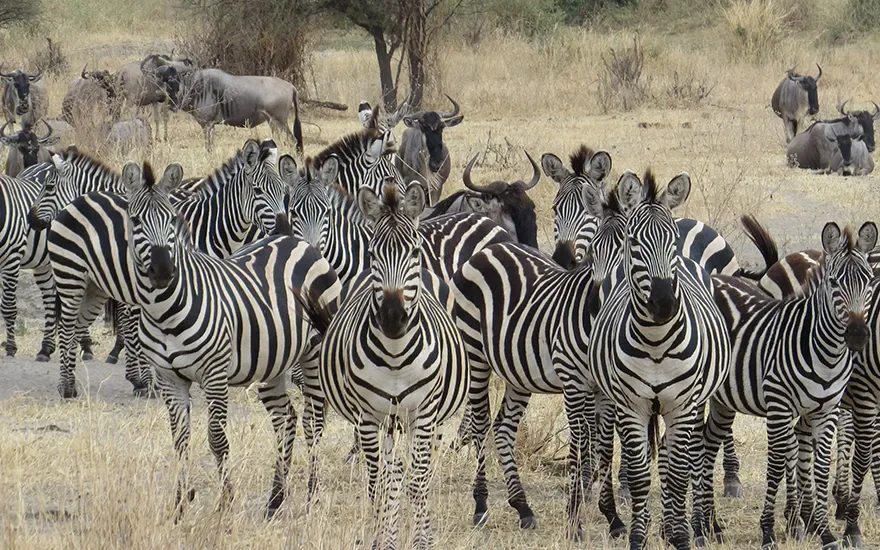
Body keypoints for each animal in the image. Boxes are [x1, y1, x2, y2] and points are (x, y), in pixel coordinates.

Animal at [46, 139, 291, 398]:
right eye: (258, 191)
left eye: (284, 192)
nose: (284, 230)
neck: (209, 227)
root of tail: (78, 201)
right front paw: (152, 381)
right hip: (70, 275)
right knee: (68, 326)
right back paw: (68, 386)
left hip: (95, 286)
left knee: (77, 325)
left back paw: (72, 382)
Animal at [116, 160, 339, 518]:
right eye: (136, 221)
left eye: (171, 219)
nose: (163, 272)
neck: (164, 311)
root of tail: (298, 242)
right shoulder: (168, 379)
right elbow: (180, 440)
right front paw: (180, 504)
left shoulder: (215, 374)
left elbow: (216, 438)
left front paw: (225, 501)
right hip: (273, 362)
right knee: (286, 419)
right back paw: (275, 500)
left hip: (314, 352)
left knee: (313, 421)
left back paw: (312, 497)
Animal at [310, 181, 467, 550]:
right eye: (372, 255)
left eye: (415, 252)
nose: (393, 318)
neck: (396, 356)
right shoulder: (369, 416)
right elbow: (378, 483)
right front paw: (380, 536)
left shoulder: (423, 412)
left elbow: (419, 480)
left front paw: (422, 540)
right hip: (388, 421)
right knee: (389, 475)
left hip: (423, 419)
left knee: (413, 472)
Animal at [586, 170, 731, 550]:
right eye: (634, 241)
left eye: (672, 241)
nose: (665, 303)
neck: (655, 341)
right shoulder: (631, 405)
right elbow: (638, 476)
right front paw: (640, 536)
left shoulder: (683, 404)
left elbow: (680, 473)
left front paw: (681, 536)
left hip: (697, 401)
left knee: (686, 454)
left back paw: (688, 523)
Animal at [702, 216, 876, 550]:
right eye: (833, 283)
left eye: (869, 282)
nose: (858, 335)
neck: (826, 353)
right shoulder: (780, 407)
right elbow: (775, 466)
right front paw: (768, 531)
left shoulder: (827, 410)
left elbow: (820, 468)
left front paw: (825, 532)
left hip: (722, 400)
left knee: (703, 445)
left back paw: (709, 526)